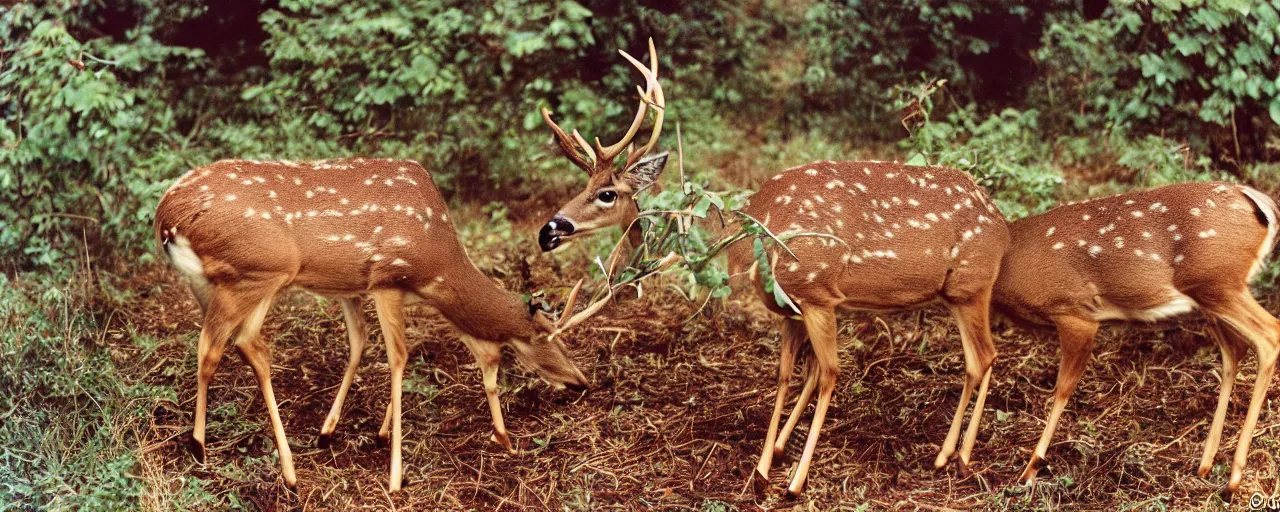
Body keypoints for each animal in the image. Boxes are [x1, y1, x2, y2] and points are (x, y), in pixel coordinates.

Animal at [153, 158, 588, 488]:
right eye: (549, 336)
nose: (581, 382)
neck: (438, 267)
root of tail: (166, 217)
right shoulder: (388, 277)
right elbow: (399, 356)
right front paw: (395, 473)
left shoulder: (351, 287)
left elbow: (359, 343)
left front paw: (336, 431)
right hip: (259, 269)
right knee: (229, 343)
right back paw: (226, 453)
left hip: (211, 282)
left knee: (228, 342)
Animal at [529, 38, 1008, 494]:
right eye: (585, 186)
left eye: (606, 193)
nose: (548, 230)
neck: (750, 240)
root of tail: (1002, 224)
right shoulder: (790, 308)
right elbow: (785, 375)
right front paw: (765, 462)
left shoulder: (816, 292)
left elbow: (829, 372)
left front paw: (794, 481)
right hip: (955, 293)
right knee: (977, 359)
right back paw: (948, 455)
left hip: (971, 285)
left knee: (985, 356)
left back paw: (958, 458)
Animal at [998, 181, 1280, 494]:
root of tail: (1256, 198)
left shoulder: (1074, 312)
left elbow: (1062, 388)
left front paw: (1030, 469)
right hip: (1210, 294)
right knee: (1236, 349)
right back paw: (1205, 465)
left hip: (1218, 281)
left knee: (1269, 334)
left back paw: (1233, 480)